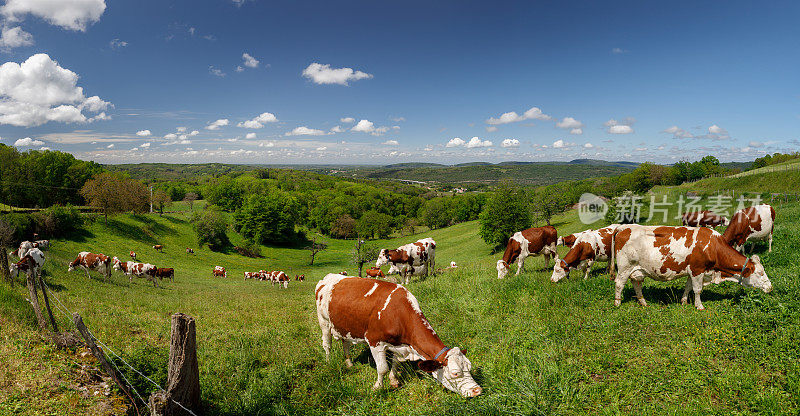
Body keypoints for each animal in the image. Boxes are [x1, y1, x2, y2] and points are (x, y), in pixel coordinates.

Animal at [316, 274, 482, 398]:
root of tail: (329, 277)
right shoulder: (375, 341)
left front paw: (394, 380)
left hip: (343, 326)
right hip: (324, 322)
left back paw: (349, 364)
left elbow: (396, 362)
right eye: (455, 373)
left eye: (469, 367)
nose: (477, 390)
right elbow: (382, 368)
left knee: (345, 343)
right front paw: (378, 387)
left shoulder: (400, 345)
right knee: (327, 345)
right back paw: (329, 362)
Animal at [608, 224, 772, 308]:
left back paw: (643, 302)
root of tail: (623, 227)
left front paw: (684, 301)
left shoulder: (692, 271)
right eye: (760, 273)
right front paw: (699, 306)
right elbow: (698, 290)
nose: (770, 287)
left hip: (637, 269)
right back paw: (617, 303)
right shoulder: (697, 269)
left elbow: (688, 287)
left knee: (636, 283)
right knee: (619, 283)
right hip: (625, 267)